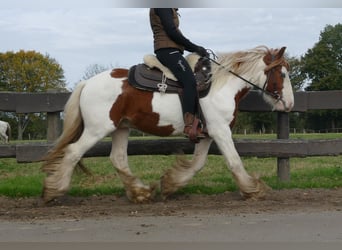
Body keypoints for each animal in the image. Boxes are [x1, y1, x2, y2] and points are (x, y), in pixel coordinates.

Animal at [42, 46, 294, 203]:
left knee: (118, 159)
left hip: (121, 128)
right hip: (97, 129)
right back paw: (54, 190)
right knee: (73, 152)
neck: (220, 85)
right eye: (282, 74)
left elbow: (197, 164)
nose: (290, 103)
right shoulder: (221, 131)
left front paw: (171, 184)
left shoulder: (208, 134)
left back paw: (141, 193)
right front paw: (253, 190)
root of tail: (87, 83)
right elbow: (234, 161)